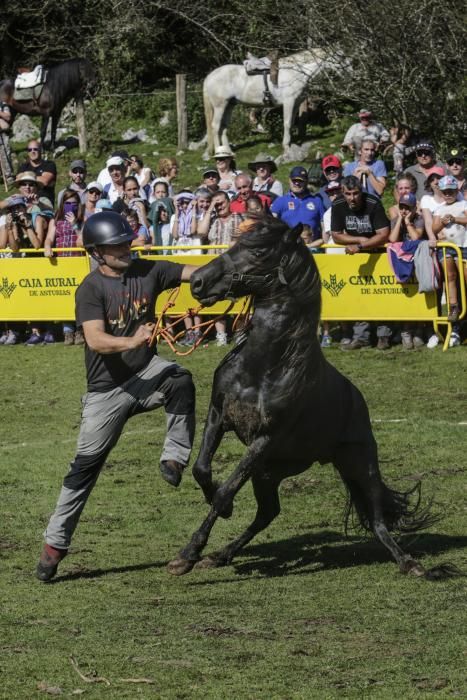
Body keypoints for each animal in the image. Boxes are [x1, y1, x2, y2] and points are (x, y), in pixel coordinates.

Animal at [169, 217, 458, 580]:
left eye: (259, 251)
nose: (197, 281)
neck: (264, 365)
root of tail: (357, 399)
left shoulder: (264, 439)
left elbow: (224, 491)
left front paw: (187, 554)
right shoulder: (218, 416)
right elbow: (202, 470)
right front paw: (214, 525)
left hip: (359, 463)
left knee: (377, 519)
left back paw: (409, 562)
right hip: (270, 472)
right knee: (268, 513)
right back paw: (221, 555)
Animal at [203, 49, 334, 154]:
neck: (295, 74)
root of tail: (209, 77)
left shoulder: (296, 104)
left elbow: (291, 123)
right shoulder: (289, 102)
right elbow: (287, 123)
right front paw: (286, 147)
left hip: (229, 105)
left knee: (223, 127)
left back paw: (229, 152)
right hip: (220, 106)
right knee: (215, 126)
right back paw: (218, 151)